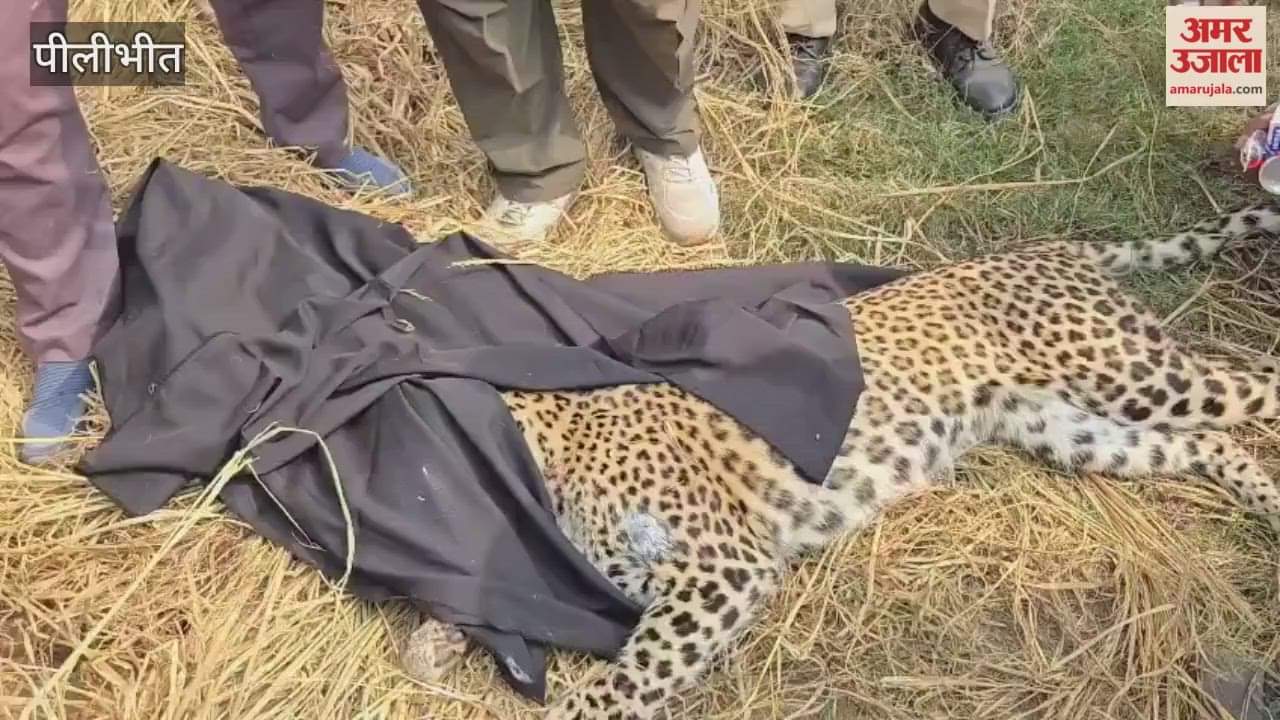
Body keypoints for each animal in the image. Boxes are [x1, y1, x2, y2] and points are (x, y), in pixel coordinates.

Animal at [399, 201, 1280, 719]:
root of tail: (1057, 249)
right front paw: (435, 643)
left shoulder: (723, 569)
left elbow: (631, 674)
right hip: (1076, 429)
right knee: (1207, 440)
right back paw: (1264, 500)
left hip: (1129, 372)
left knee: (1256, 387)